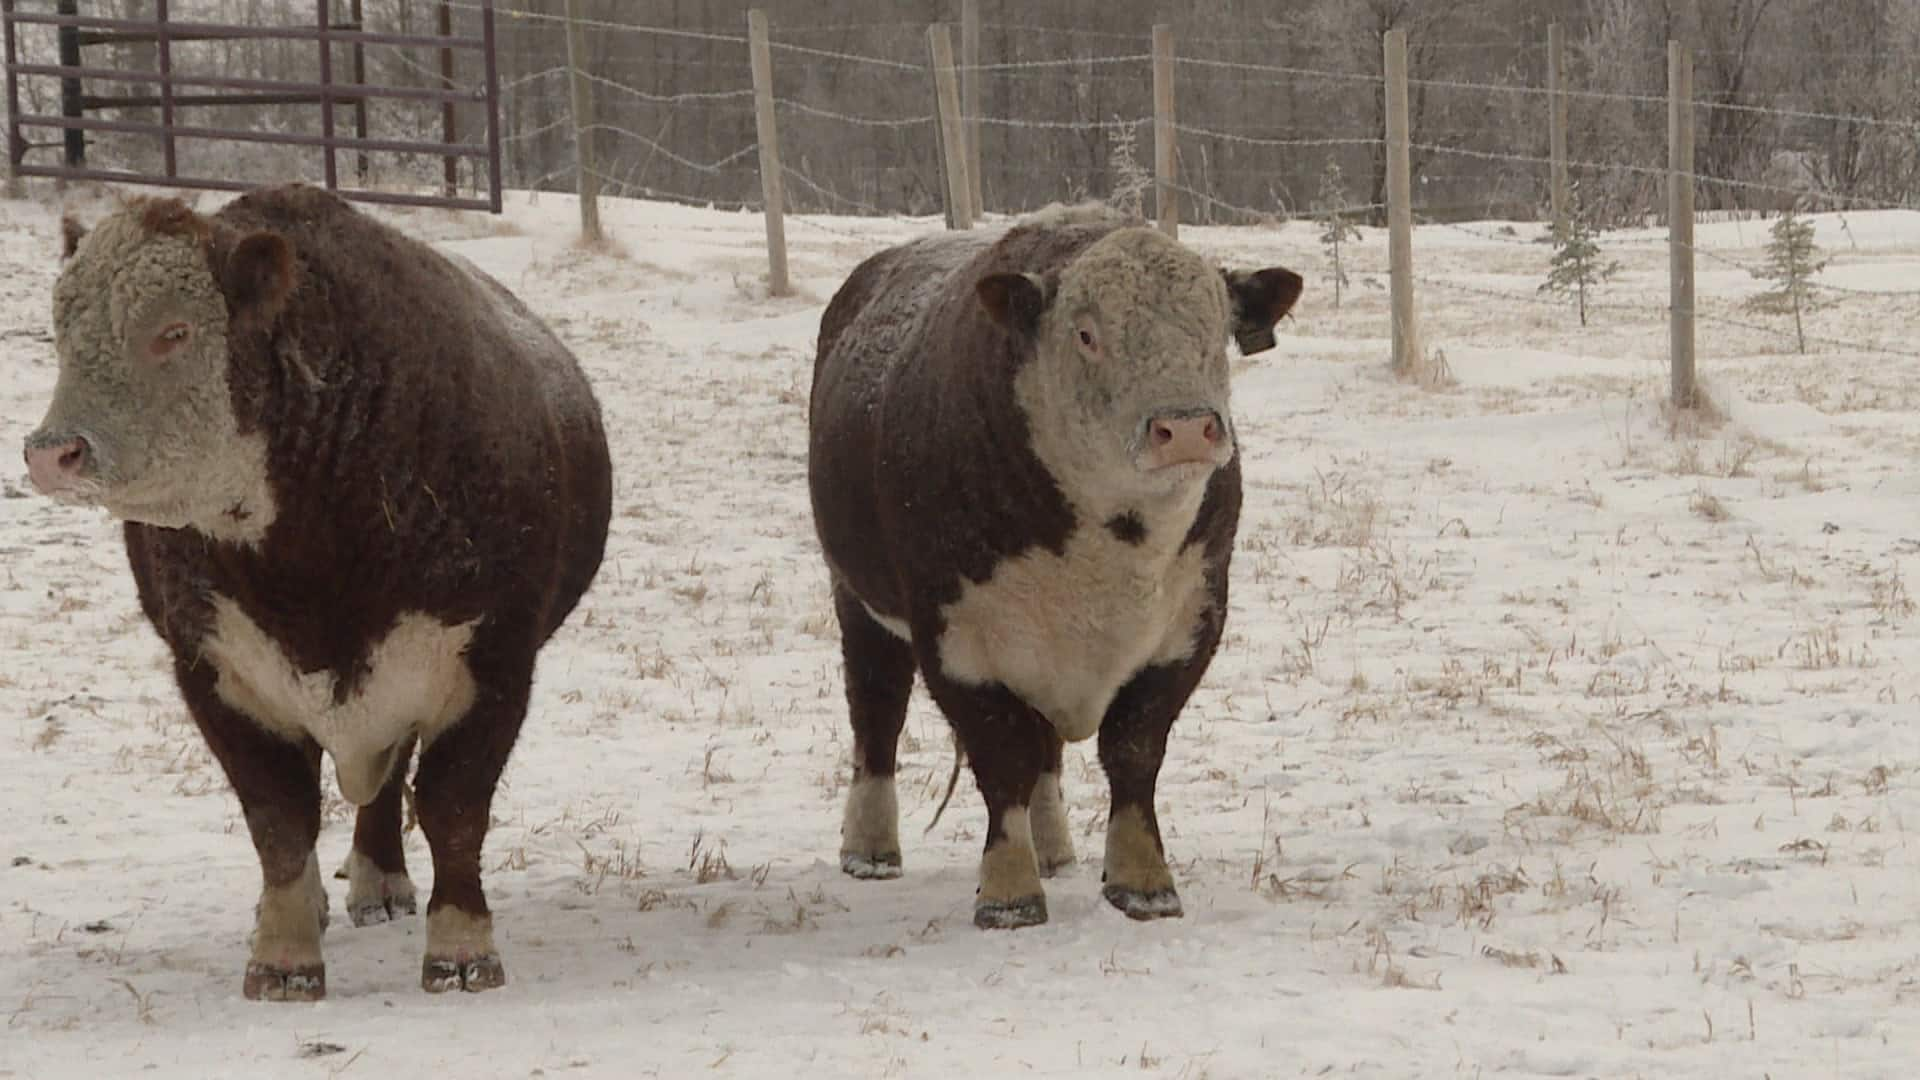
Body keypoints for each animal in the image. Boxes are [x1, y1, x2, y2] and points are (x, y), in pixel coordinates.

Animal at [18, 182, 610, 991]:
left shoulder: (492, 657)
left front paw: (462, 948)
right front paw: (283, 956)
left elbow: (454, 807)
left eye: (173, 332)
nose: (52, 453)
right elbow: (278, 821)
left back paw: (381, 881)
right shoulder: (214, 668)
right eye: (62, 332)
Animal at [802, 205, 1297, 930]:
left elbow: (1134, 751)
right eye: (1086, 334)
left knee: (1045, 749)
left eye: (1217, 333)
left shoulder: (1190, 624)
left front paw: (1143, 883)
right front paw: (1009, 891)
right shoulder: (955, 637)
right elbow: (1000, 755)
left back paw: (1056, 849)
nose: (1184, 428)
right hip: (859, 601)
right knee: (877, 713)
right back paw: (870, 848)